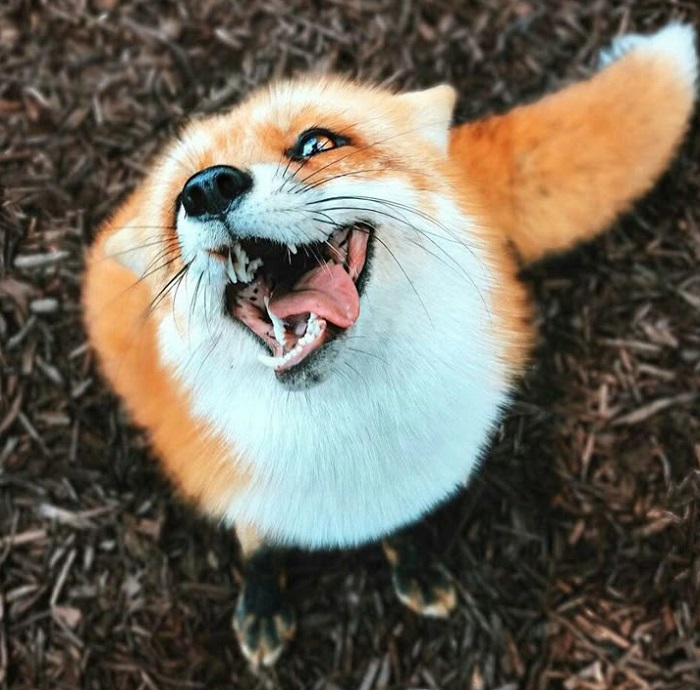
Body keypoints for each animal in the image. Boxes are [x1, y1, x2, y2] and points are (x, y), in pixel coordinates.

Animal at [83, 24, 698, 668]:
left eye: (315, 143)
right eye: (176, 201)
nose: (206, 188)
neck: (349, 442)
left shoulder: (415, 480)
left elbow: (403, 532)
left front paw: (414, 568)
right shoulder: (241, 490)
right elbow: (259, 549)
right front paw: (262, 607)